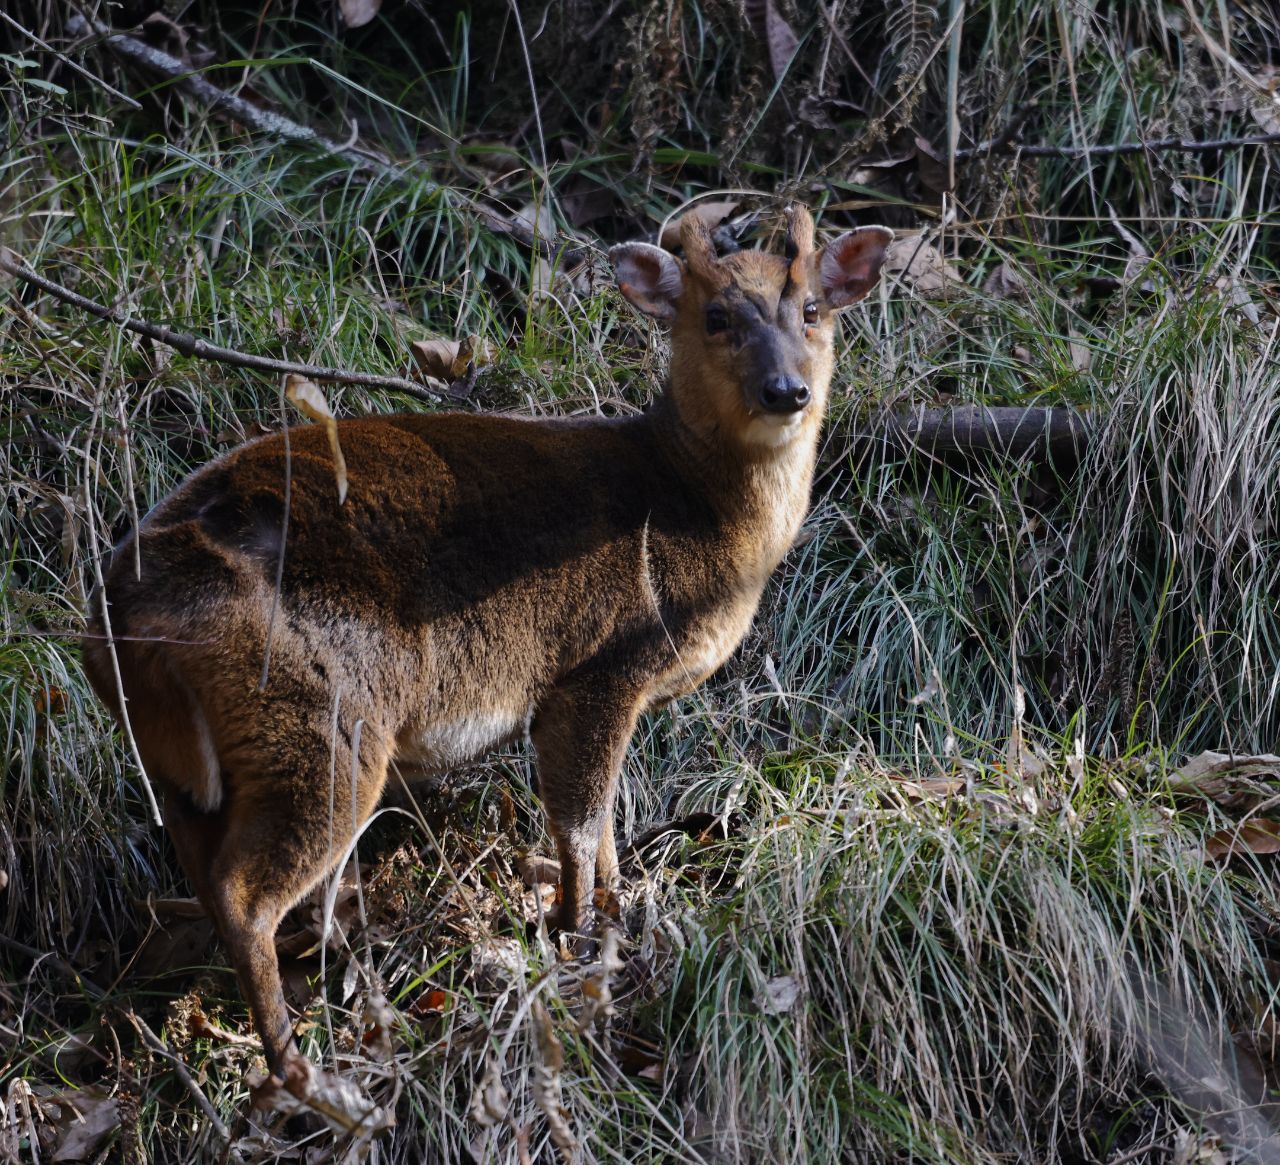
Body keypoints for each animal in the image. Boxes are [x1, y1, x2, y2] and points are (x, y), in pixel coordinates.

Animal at [85, 204, 890, 1080]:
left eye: (812, 309)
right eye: (715, 317)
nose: (787, 389)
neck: (691, 510)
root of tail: (117, 616)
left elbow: (608, 818)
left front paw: (620, 910)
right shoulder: (597, 667)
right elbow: (579, 820)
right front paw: (576, 937)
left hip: (187, 764)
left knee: (201, 877)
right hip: (317, 720)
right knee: (243, 892)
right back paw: (300, 1066)